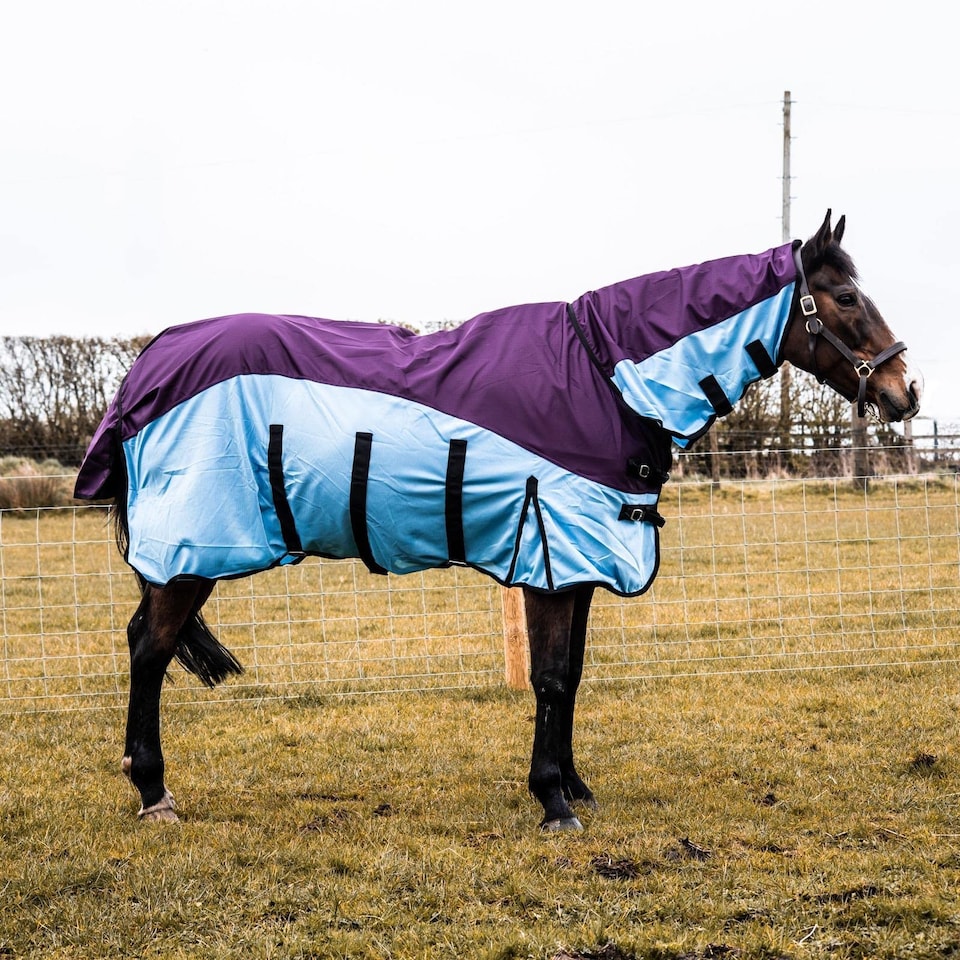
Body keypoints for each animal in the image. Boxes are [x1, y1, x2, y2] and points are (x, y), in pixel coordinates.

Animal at [74, 211, 920, 830]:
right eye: (845, 298)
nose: (906, 392)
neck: (603, 377)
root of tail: (149, 362)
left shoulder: (579, 561)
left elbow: (570, 676)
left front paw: (575, 787)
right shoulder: (550, 553)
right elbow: (549, 678)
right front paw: (552, 801)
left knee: (143, 640)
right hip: (191, 549)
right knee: (149, 650)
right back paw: (153, 792)